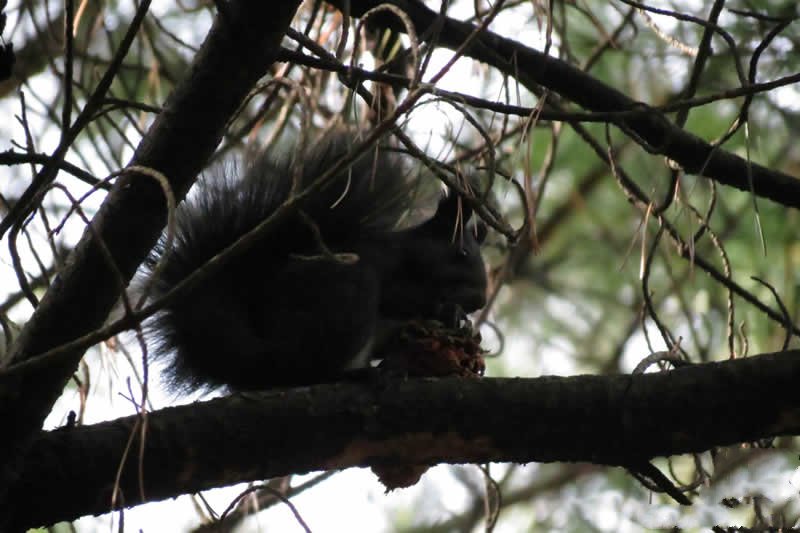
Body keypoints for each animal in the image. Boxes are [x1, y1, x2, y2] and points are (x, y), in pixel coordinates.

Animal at [145, 133, 488, 390]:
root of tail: (262, 358)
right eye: (462, 253)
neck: (408, 253)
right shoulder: (384, 264)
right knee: (311, 369)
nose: (480, 301)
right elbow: (401, 296)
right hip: (343, 298)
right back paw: (356, 374)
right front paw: (445, 310)